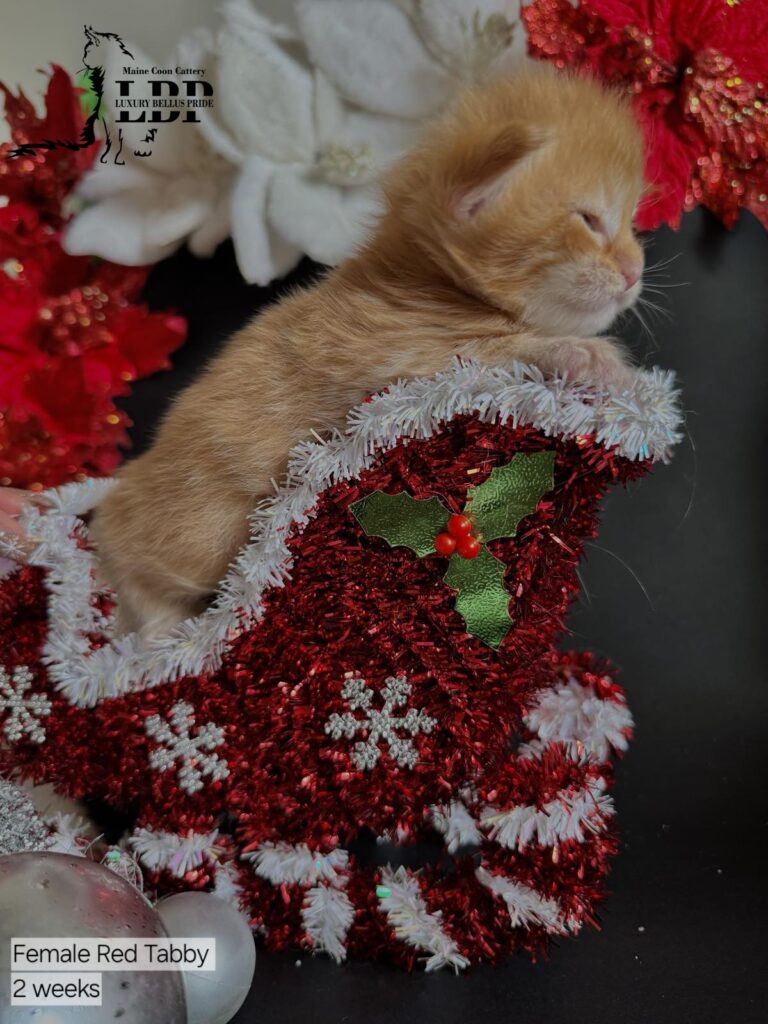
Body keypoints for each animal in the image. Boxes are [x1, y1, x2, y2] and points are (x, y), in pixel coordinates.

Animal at [90, 68, 647, 634]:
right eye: (590, 220)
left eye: (631, 222)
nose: (635, 270)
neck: (431, 287)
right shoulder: (400, 358)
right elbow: (506, 347)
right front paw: (595, 356)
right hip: (201, 536)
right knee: (125, 564)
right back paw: (157, 631)